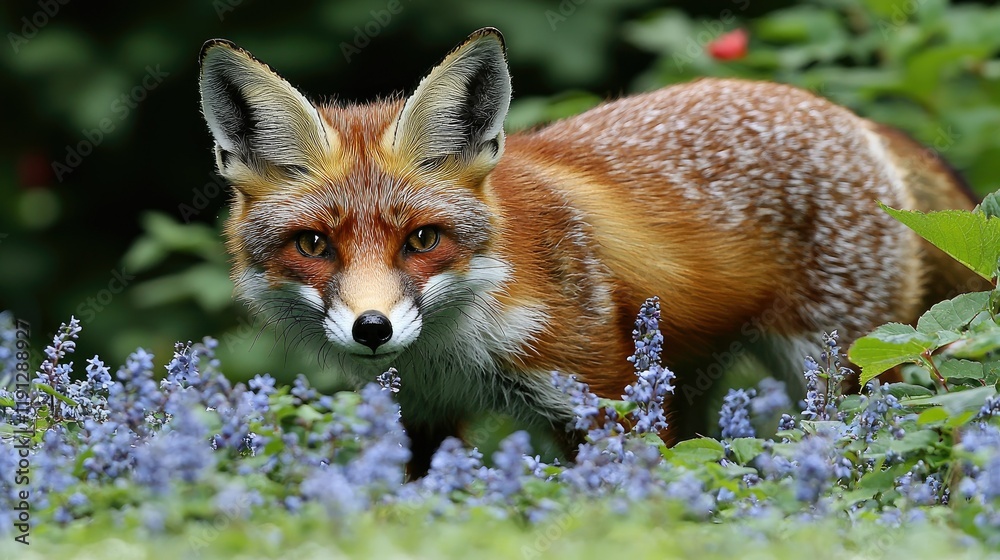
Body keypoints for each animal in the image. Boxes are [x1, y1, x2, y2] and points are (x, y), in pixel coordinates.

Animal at [198, 27, 987, 474]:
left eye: (422, 239)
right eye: (314, 244)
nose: (373, 329)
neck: (459, 344)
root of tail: (852, 117)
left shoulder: (602, 398)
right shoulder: (423, 413)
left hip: (837, 370)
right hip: (691, 377)